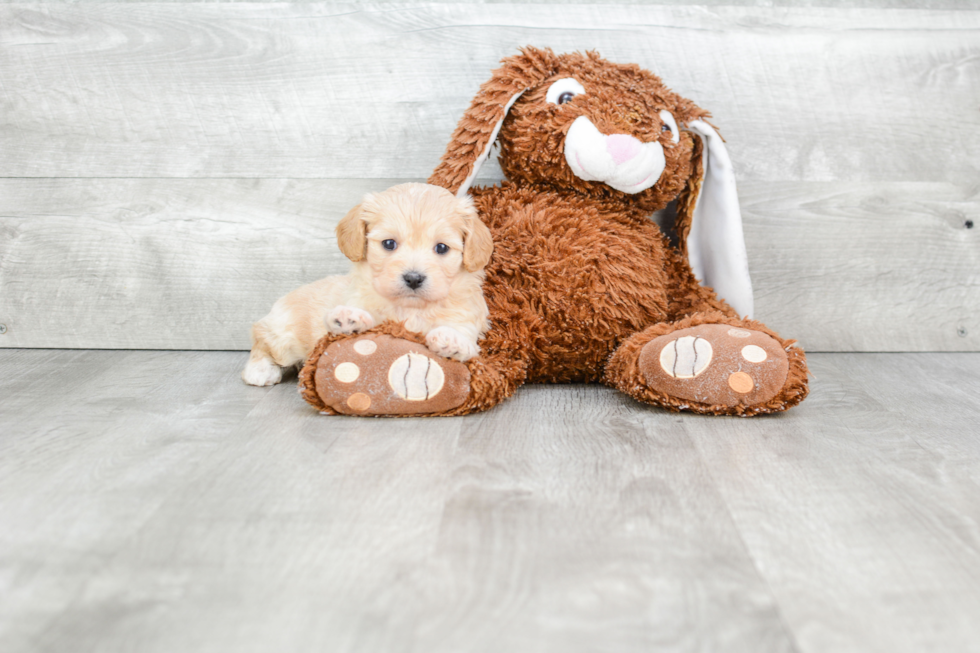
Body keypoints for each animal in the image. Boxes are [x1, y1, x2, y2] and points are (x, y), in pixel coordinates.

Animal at [242, 182, 494, 388]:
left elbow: (460, 331)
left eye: (441, 248)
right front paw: (348, 317)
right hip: (285, 337)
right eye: (389, 244)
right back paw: (260, 370)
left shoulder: (467, 315)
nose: (413, 278)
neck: (409, 309)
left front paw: (452, 339)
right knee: (261, 337)